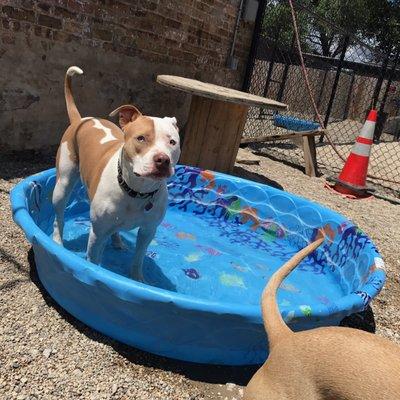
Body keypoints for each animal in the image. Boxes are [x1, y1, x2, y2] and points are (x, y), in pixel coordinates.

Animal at [52, 66, 180, 282]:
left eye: (172, 142)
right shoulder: (97, 233)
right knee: (59, 215)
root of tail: (82, 119)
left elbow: (138, 259)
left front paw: (137, 279)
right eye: (141, 138)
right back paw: (57, 240)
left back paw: (118, 241)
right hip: (62, 185)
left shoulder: (148, 231)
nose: (163, 160)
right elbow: (93, 262)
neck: (137, 191)